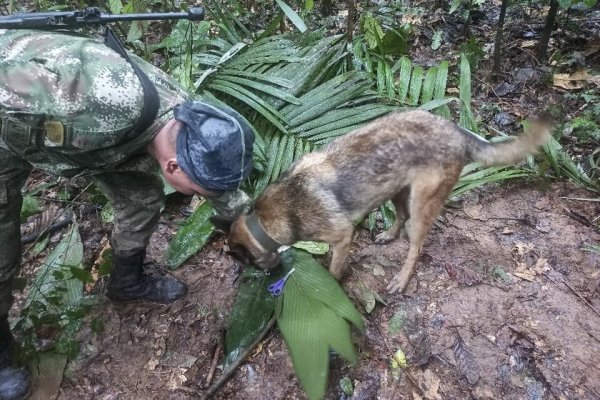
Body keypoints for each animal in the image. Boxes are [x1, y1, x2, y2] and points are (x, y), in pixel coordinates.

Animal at [210, 109, 548, 294]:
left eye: (246, 262)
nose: (269, 276)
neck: (265, 220)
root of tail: (457, 130)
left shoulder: (342, 237)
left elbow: (334, 269)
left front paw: (331, 285)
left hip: (421, 204)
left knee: (415, 246)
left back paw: (402, 278)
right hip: (395, 188)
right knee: (400, 216)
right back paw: (388, 235)